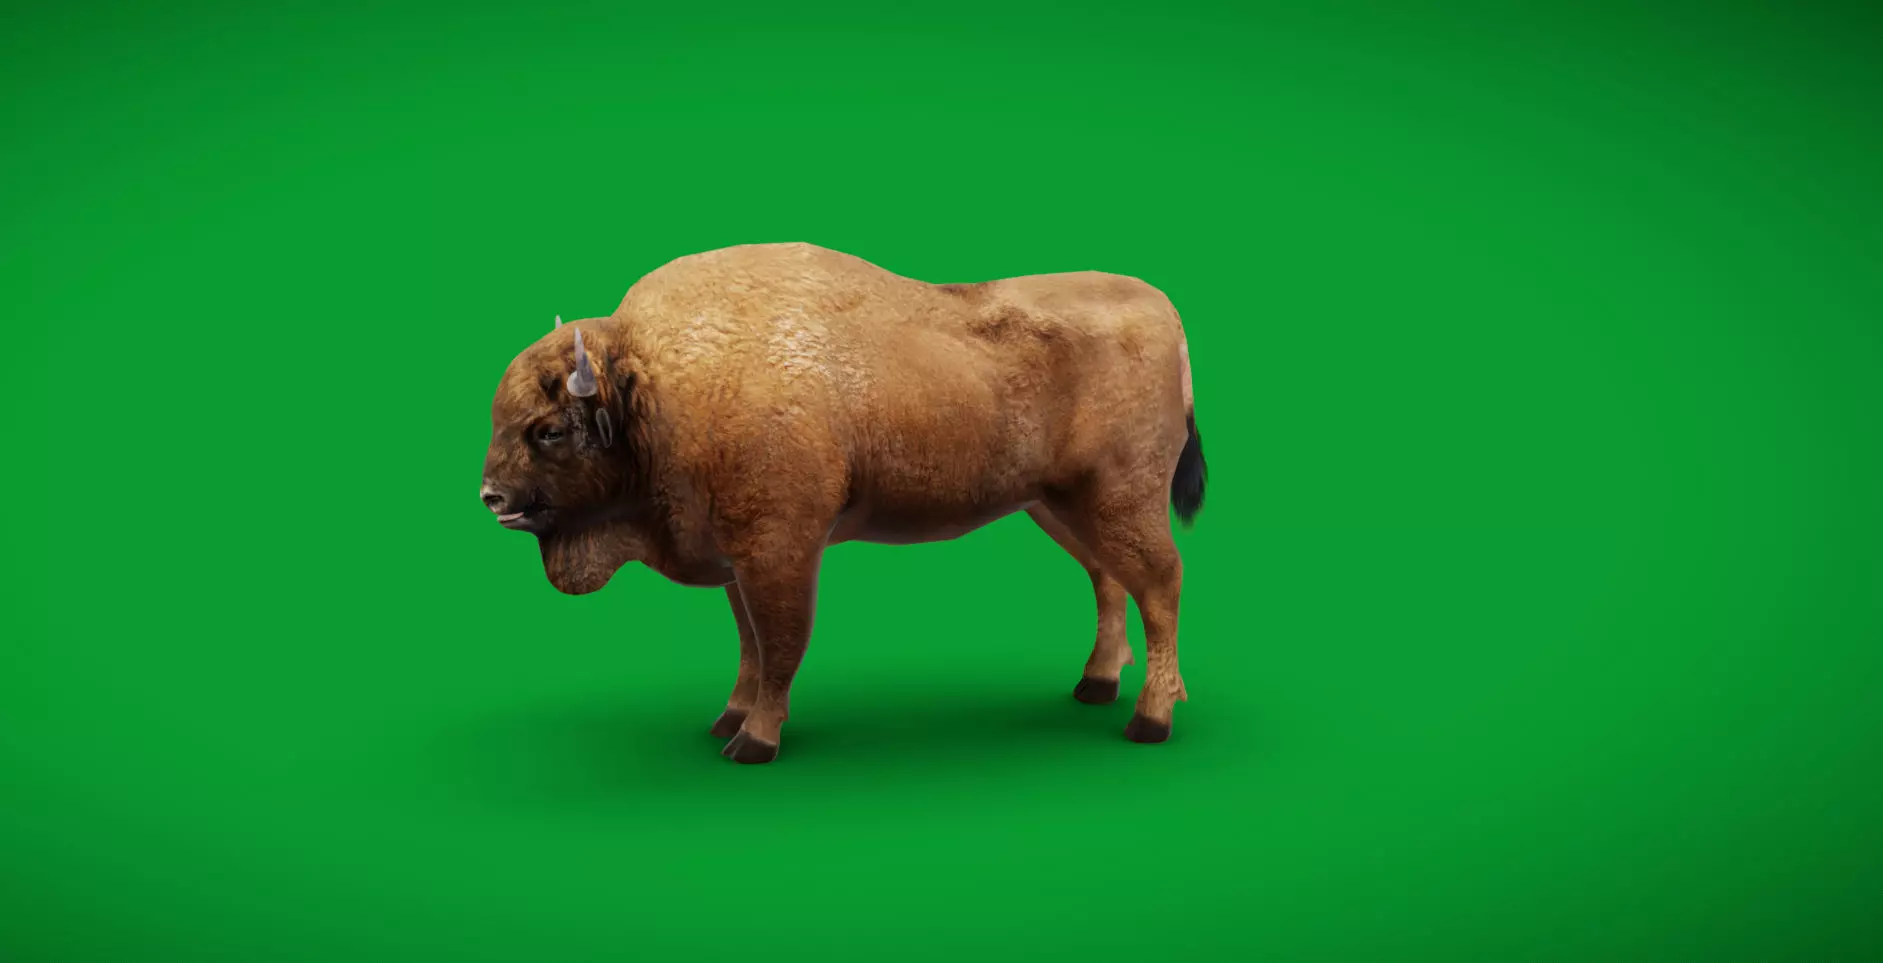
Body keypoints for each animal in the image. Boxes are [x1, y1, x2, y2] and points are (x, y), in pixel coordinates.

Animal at [480, 243, 1207, 764]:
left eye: (548, 430)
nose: (491, 496)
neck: (655, 389)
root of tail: (1167, 314)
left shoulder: (780, 551)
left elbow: (779, 644)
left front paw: (754, 740)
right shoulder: (735, 556)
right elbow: (749, 643)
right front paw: (729, 716)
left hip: (1121, 499)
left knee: (1160, 582)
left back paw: (1149, 718)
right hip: (1059, 506)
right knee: (1109, 578)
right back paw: (1096, 686)